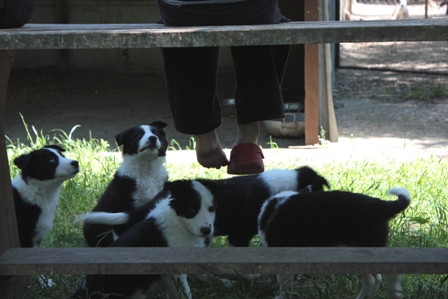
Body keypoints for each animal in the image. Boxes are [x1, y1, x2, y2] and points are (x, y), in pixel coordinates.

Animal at [72, 180, 216, 299]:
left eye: (211, 209)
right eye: (191, 211)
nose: (206, 230)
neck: (180, 223)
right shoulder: (175, 273)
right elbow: (183, 293)